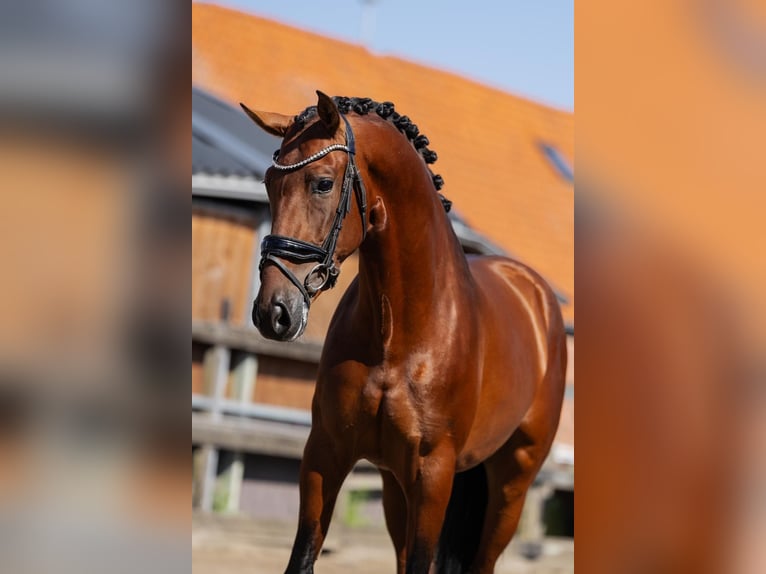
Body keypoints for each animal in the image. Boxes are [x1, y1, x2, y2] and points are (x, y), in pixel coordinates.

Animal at [241, 91, 567, 574]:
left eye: (322, 183)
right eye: (268, 183)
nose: (273, 312)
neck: (397, 335)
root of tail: (536, 292)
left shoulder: (433, 474)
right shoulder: (326, 453)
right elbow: (303, 555)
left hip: (512, 483)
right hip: (396, 484)